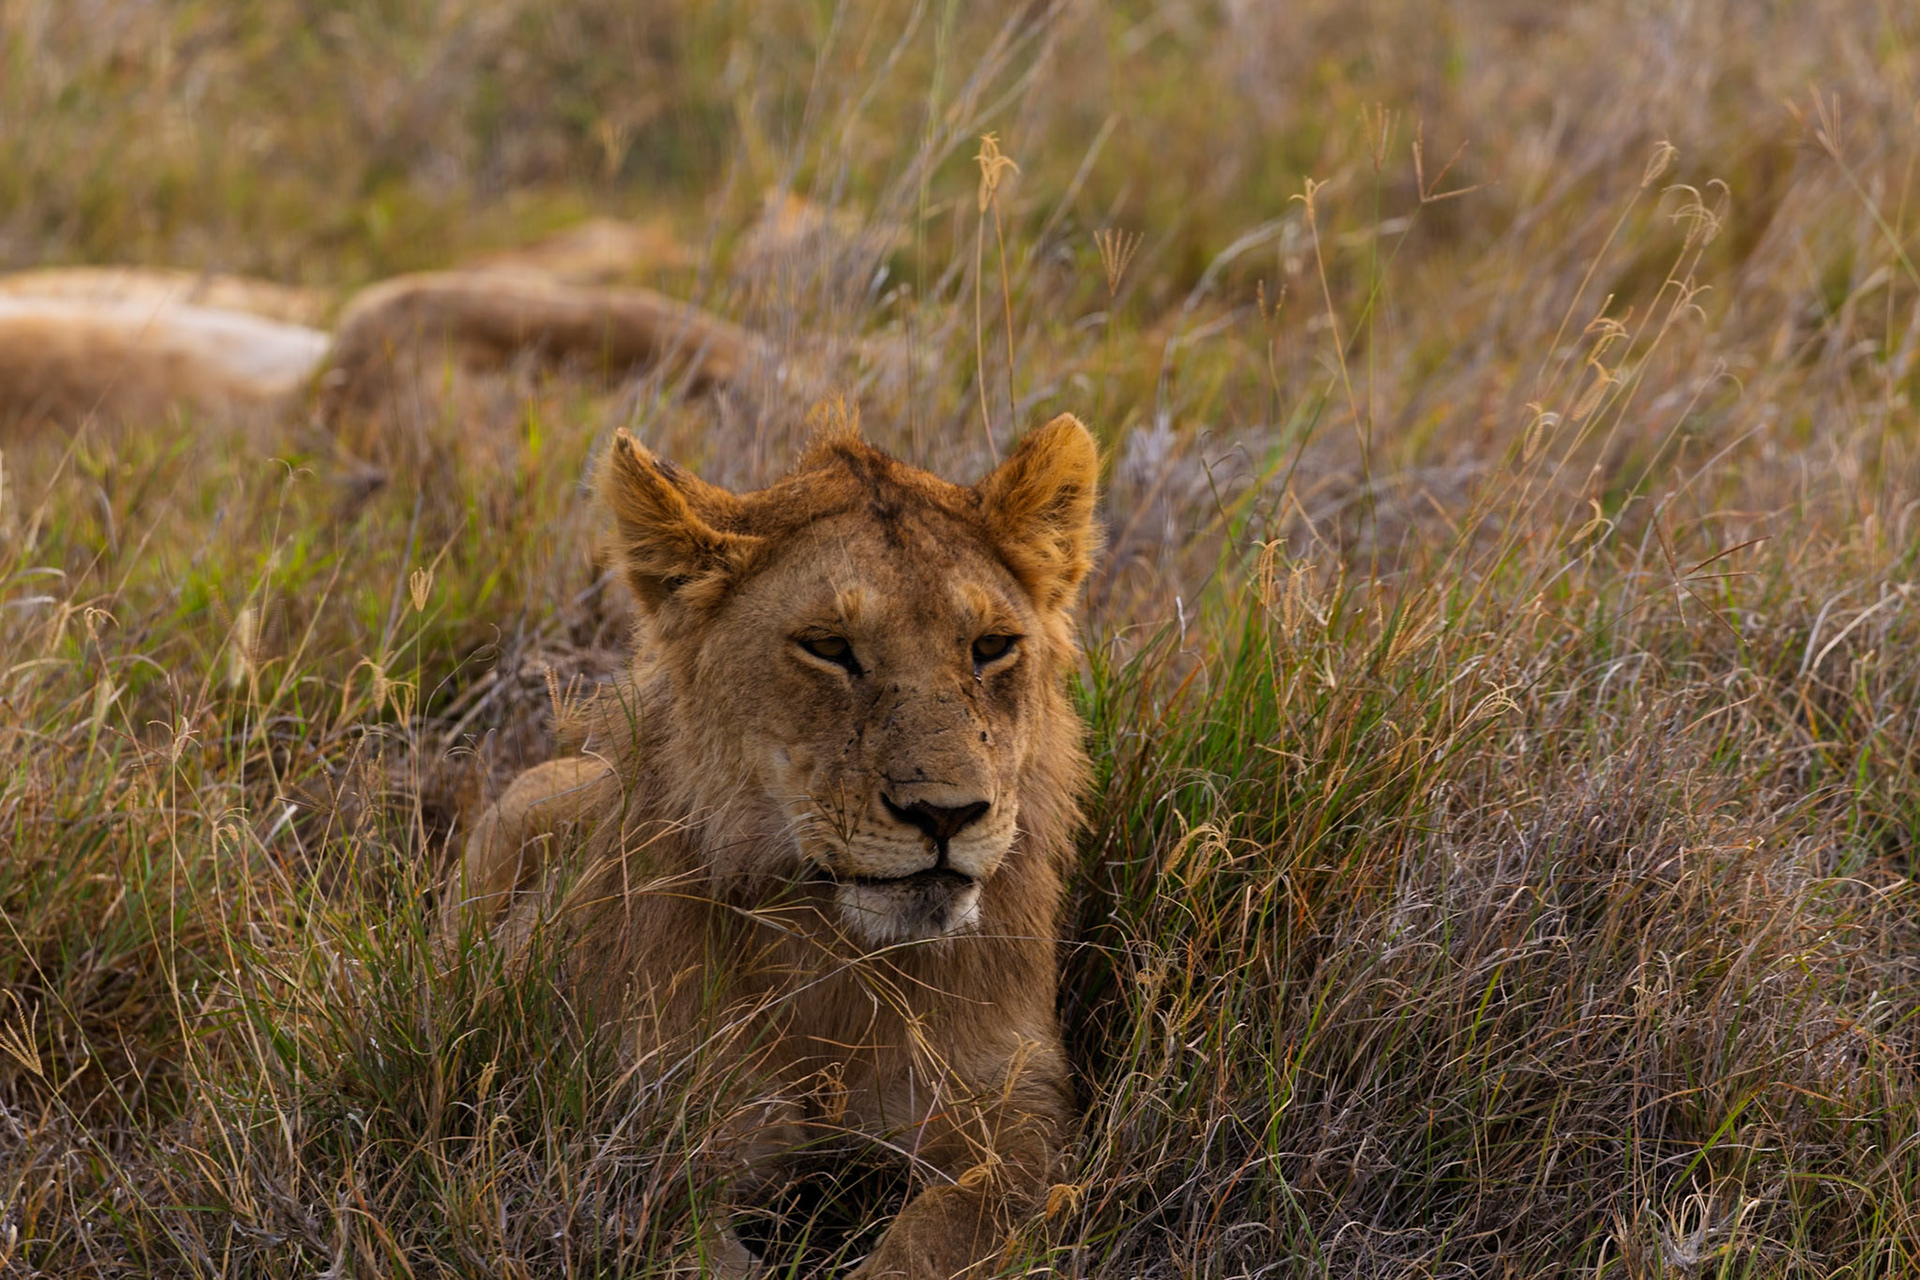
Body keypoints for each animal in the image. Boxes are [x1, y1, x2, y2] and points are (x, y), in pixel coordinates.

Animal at [446, 412, 1100, 1277]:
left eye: (991, 646)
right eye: (828, 646)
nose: (947, 814)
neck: (838, 963)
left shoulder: (1023, 1114)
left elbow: (948, 1227)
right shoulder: (641, 1139)